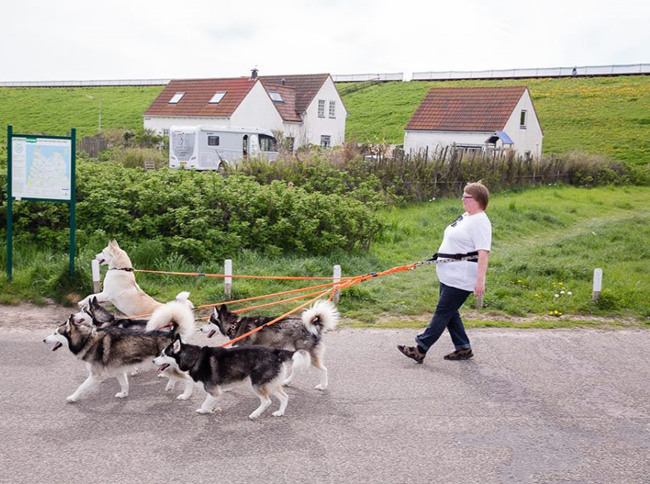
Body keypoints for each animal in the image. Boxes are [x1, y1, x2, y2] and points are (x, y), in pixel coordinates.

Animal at [44, 300, 195, 402]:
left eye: (56, 333)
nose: (44, 340)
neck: (87, 339)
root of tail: (171, 333)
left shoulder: (97, 375)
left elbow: (81, 387)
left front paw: (73, 397)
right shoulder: (118, 370)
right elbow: (124, 384)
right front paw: (124, 394)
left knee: (188, 379)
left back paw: (185, 395)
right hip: (165, 365)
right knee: (176, 377)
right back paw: (170, 386)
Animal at [154, 334, 312, 418]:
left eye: (163, 354)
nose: (153, 361)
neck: (195, 358)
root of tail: (275, 351)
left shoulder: (214, 391)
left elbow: (205, 404)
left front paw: (205, 410)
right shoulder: (217, 392)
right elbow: (211, 402)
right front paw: (213, 409)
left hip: (257, 385)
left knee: (267, 401)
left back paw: (255, 414)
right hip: (270, 384)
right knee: (285, 397)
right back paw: (280, 412)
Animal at [200, 300, 336, 392]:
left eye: (209, 322)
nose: (200, 329)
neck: (234, 325)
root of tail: (314, 324)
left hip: (308, 354)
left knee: (323, 369)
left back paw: (323, 386)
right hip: (299, 352)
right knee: (296, 369)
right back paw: (287, 382)